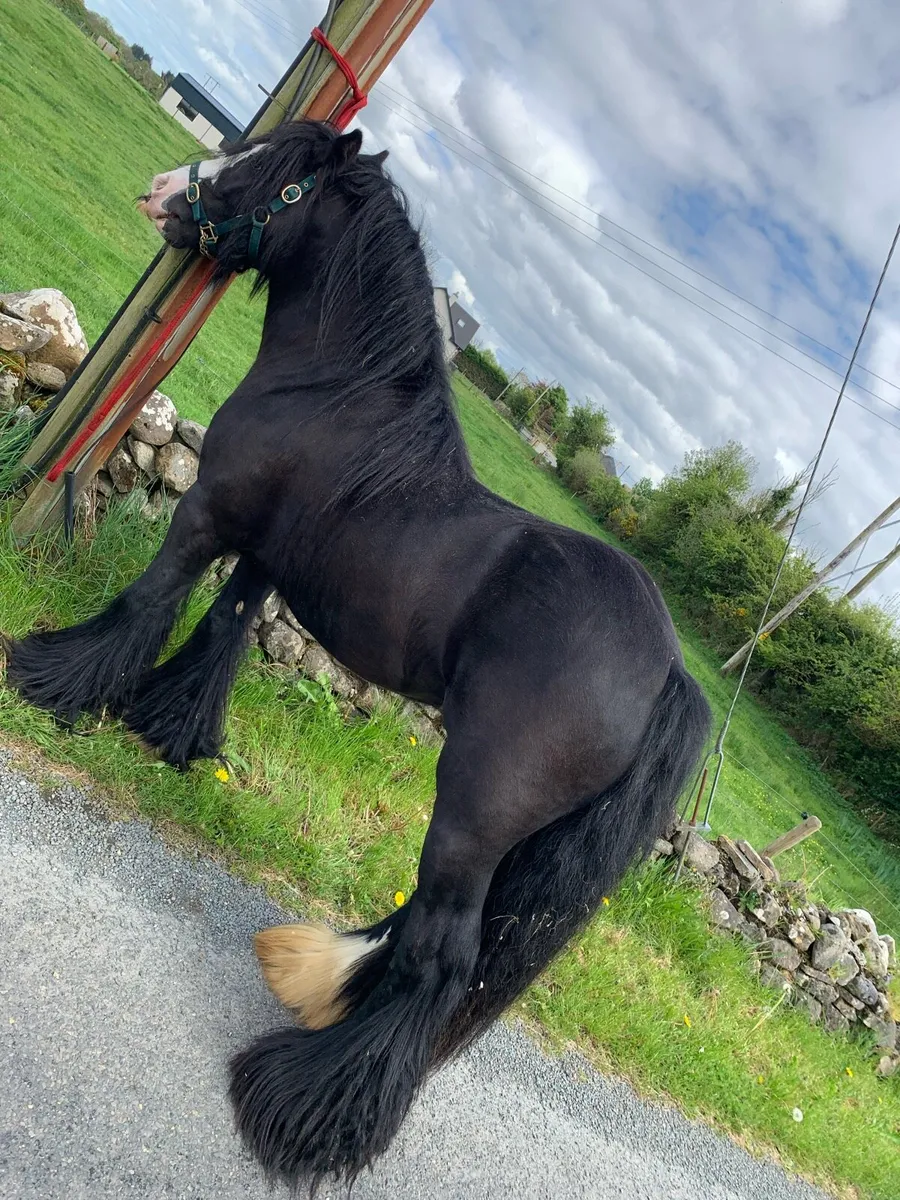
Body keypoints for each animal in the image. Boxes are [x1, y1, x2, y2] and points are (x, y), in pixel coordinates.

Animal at [6, 120, 711, 1191]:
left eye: (267, 172)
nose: (165, 187)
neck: (334, 394)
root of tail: (667, 668)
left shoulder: (207, 515)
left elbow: (151, 603)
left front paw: (51, 679)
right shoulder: (267, 556)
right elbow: (223, 633)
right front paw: (171, 732)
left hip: (473, 808)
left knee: (443, 958)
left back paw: (303, 1106)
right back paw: (319, 983)